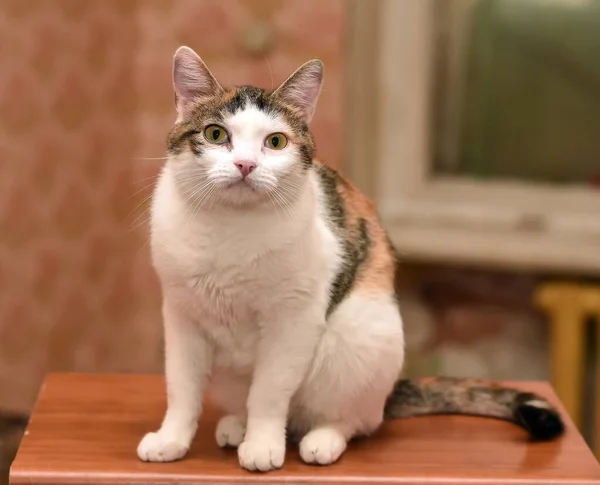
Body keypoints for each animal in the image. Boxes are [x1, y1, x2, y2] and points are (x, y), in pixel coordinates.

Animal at [138, 47, 564, 470]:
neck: (230, 229)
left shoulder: (292, 320)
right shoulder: (181, 316)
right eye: (215, 134)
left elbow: (269, 391)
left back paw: (320, 439)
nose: (246, 165)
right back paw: (236, 425)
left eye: (275, 142)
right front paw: (172, 440)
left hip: (360, 343)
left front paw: (262, 445)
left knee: (354, 420)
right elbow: (182, 388)